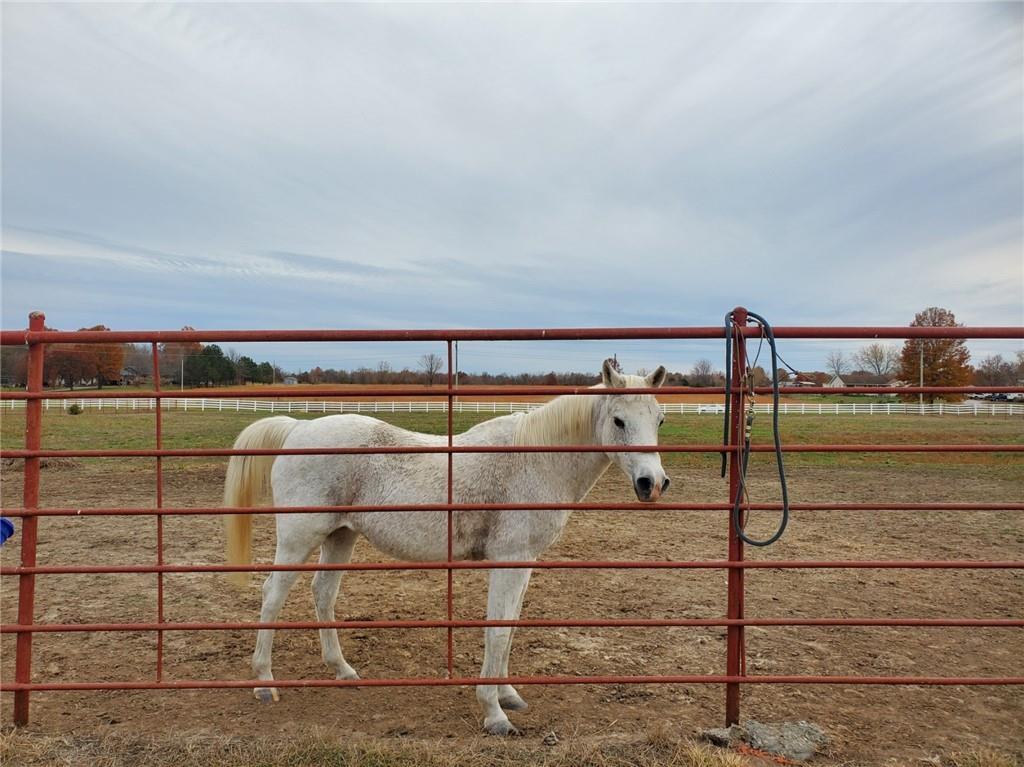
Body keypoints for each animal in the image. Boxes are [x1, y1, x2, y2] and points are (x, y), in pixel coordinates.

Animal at [222, 359, 670, 735]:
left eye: (660, 419)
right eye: (619, 420)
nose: (652, 483)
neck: (533, 460)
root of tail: (297, 429)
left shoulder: (524, 562)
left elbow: (509, 628)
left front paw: (508, 694)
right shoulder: (508, 561)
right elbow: (496, 630)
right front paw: (494, 714)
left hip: (340, 536)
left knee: (323, 594)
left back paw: (343, 671)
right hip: (299, 537)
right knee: (273, 595)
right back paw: (264, 683)